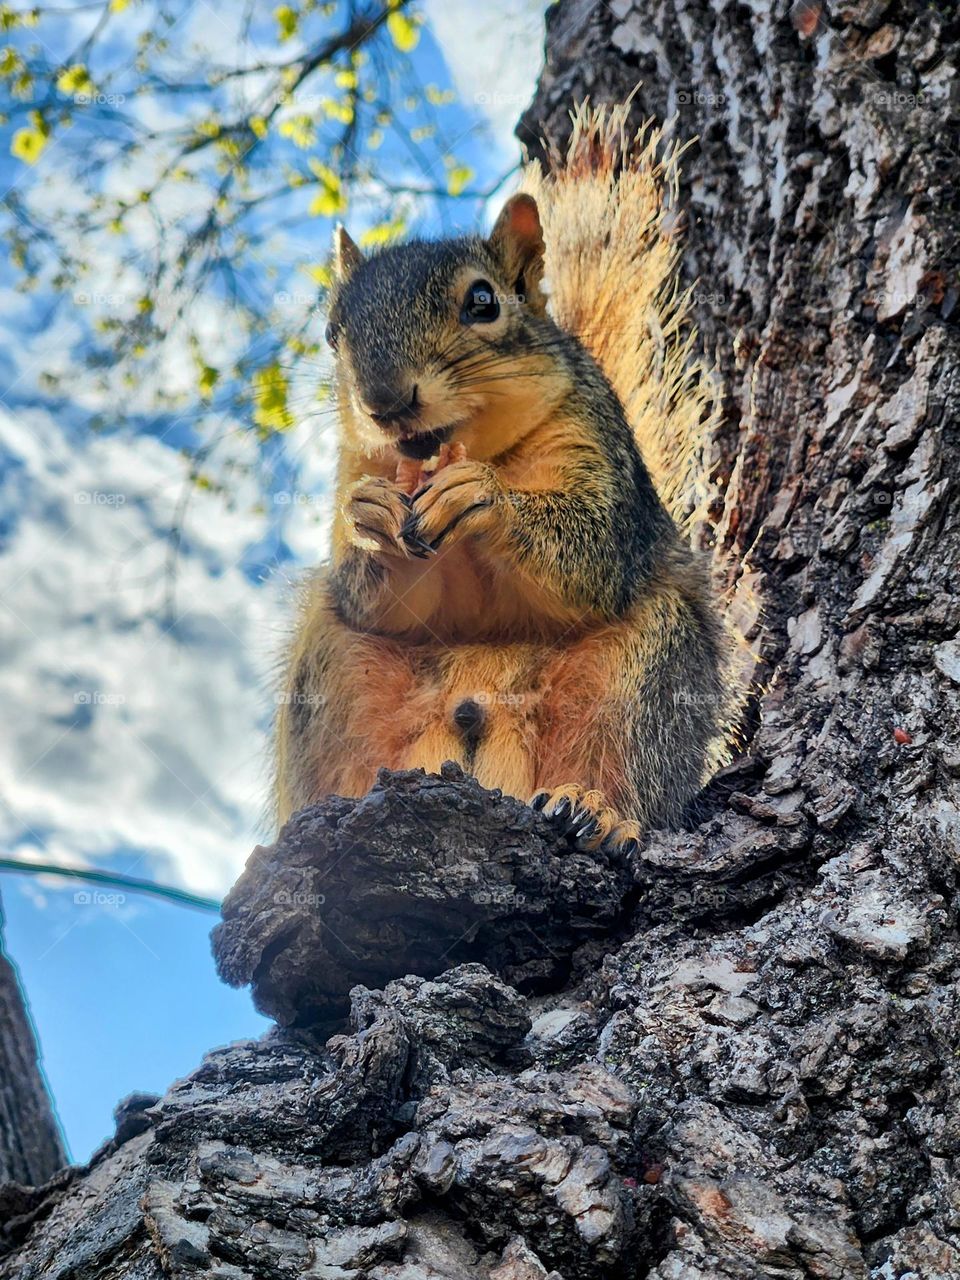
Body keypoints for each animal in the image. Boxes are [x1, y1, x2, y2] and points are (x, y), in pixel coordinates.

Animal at [274, 102, 729, 851]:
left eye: (483, 302)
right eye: (333, 331)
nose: (385, 400)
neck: (481, 446)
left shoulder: (597, 447)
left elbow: (592, 555)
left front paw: (485, 498)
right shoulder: (356, 463)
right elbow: (388, 600)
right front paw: (368, 520)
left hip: (642, 667)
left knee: (623, 758)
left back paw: (596, 808)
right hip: (335, 664)